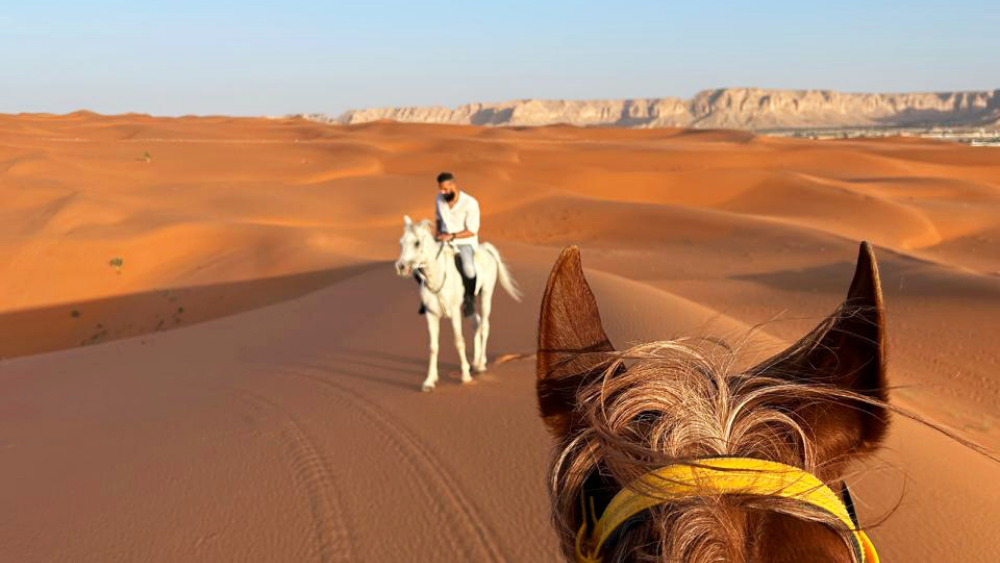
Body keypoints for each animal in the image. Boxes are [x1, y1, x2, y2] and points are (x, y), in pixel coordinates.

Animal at [395, 215, 522, 392]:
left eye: (417, 243)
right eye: (401, 242)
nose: (401, 267)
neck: (437, 276)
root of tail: (486, 249)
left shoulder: (455, 312)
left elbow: (459, 341)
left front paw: (465, 376)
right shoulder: (431, 315)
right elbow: (433, 347)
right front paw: (429, 380)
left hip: (486, 295)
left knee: (485, 326)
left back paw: (481, 364)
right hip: (469, 305)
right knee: (476, 323)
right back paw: (475, 362)